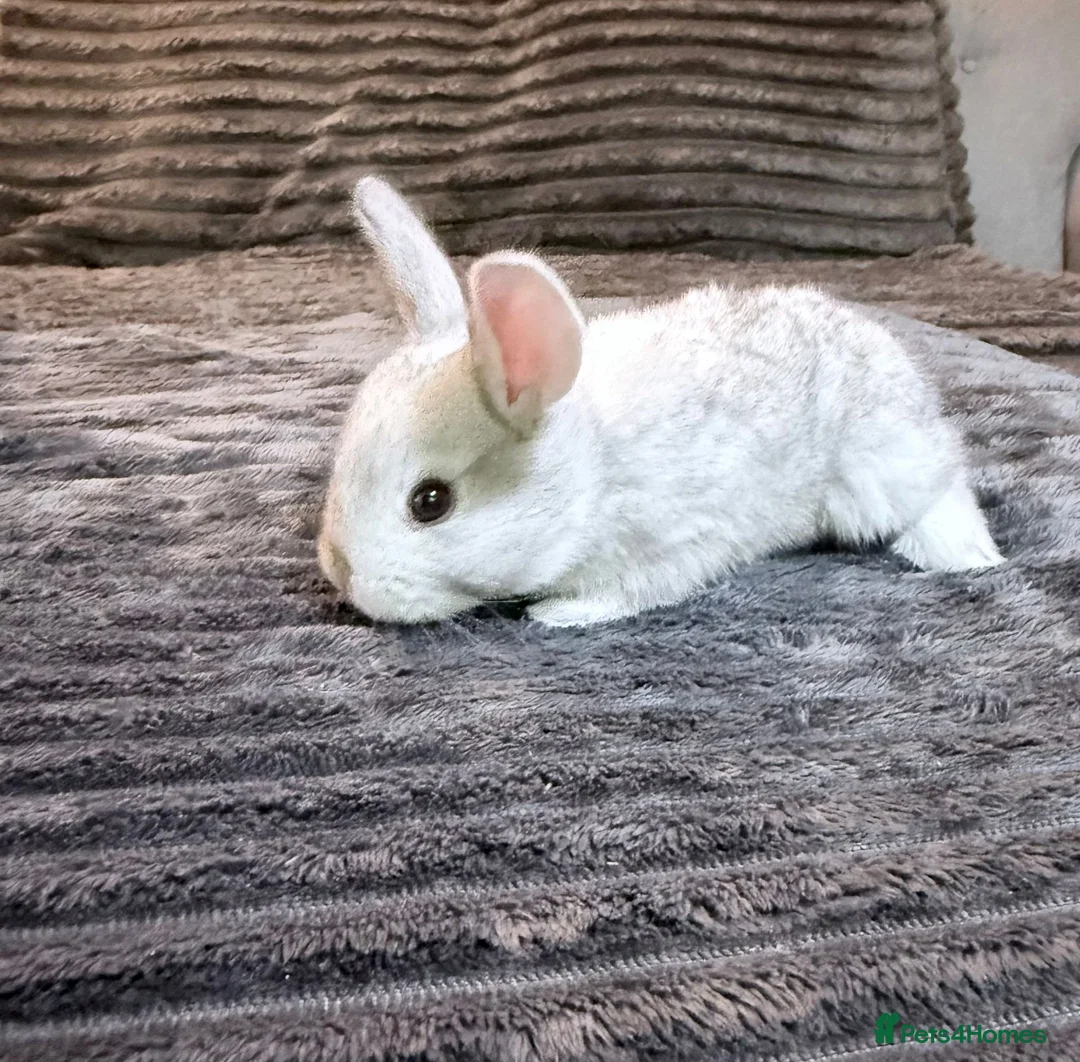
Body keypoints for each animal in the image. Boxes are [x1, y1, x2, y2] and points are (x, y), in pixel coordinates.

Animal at [317, 175, 1003, 627]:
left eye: (430, 503)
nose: (345, 576)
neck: (592, 468)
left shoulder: (667, 549)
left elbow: (626, 596)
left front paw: (557, 614)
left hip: (879, 470)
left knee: (941, 490)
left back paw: (962, 555)